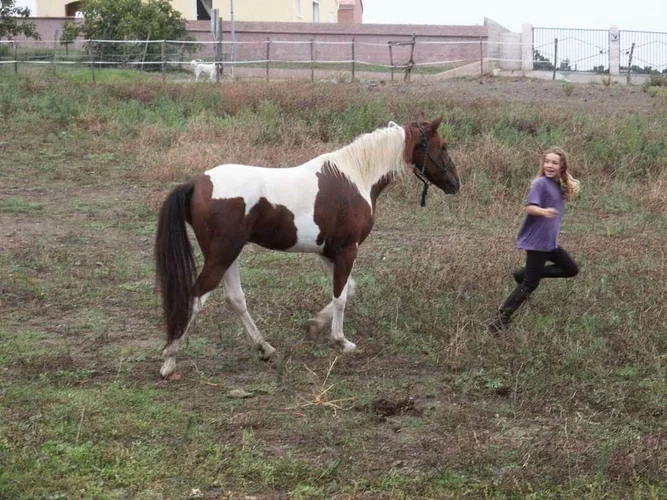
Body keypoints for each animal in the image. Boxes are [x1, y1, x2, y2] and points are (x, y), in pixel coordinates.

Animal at [155, 115, 460, 376]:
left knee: (236, 299)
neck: (355, 177)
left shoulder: (328, 252)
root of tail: (196, 183)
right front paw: (341, 341)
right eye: (443, 146)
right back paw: (169, 359)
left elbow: (348, 288)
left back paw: (265, 349)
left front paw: (314, 326)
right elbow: (341, 296)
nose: (455, 183)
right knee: (196, 297)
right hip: (221, 255)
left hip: (229, 255)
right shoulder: (347, 250)